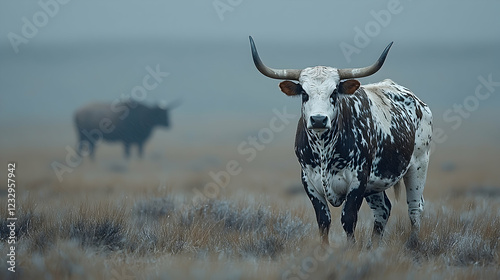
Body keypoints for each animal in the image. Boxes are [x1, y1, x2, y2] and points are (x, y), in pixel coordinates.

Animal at [250, 35, 434, 247]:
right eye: (304, 93)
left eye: (334, 92)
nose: (318, 119)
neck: (324, 149)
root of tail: (418, 102)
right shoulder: (309, 182)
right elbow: (323, 220)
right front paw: (325, 249)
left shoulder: (358, 180)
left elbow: (348, 219)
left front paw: (351, 249)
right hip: (376, 183)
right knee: (383, 210)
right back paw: (374, 247)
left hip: (418, 166)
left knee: (414, 208)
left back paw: (413, 243)